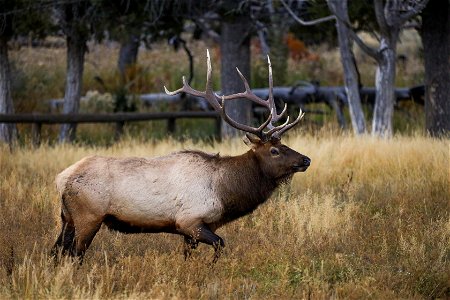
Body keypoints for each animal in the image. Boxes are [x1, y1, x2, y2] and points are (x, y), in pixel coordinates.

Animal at [51, 51, 310, 262]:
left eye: (284, 144)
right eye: (274, 151)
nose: (306, 159)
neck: (225, 192)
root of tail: (61, 179)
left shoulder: (192, 230)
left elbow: (188, 256)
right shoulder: (190, 221)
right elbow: (220, 244)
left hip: (67, 218)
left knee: (56, 251)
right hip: (88, 216)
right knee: (74, 254)